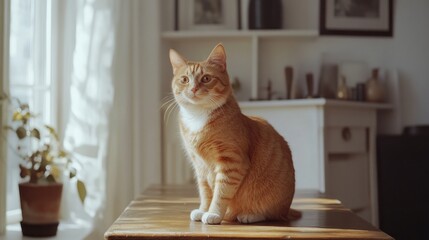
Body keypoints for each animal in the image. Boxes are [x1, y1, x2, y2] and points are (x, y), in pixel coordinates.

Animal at [169, 43, 296, 225]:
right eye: (185, 79)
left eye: (206, 78)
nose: (193, 89)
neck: (198, 116)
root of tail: (288, 209)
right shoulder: (200, 167)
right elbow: (206, 193)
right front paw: (203, 210)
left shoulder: (232, 162)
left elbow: (220, 193)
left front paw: (213, 214)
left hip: (273, 204)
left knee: (271, 213)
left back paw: (249, 215)